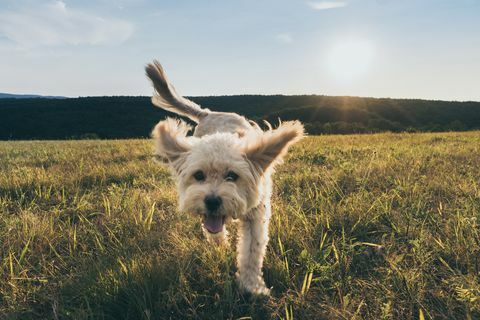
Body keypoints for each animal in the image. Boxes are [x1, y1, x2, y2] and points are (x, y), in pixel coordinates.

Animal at [146, 60, 304, 296]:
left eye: (232, 176)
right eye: (199, 175)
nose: (212, 201)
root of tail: (208, 113)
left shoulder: (256, 216)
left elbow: (251, 252)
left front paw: (252, 285)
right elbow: (215, 233)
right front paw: (220, 248)